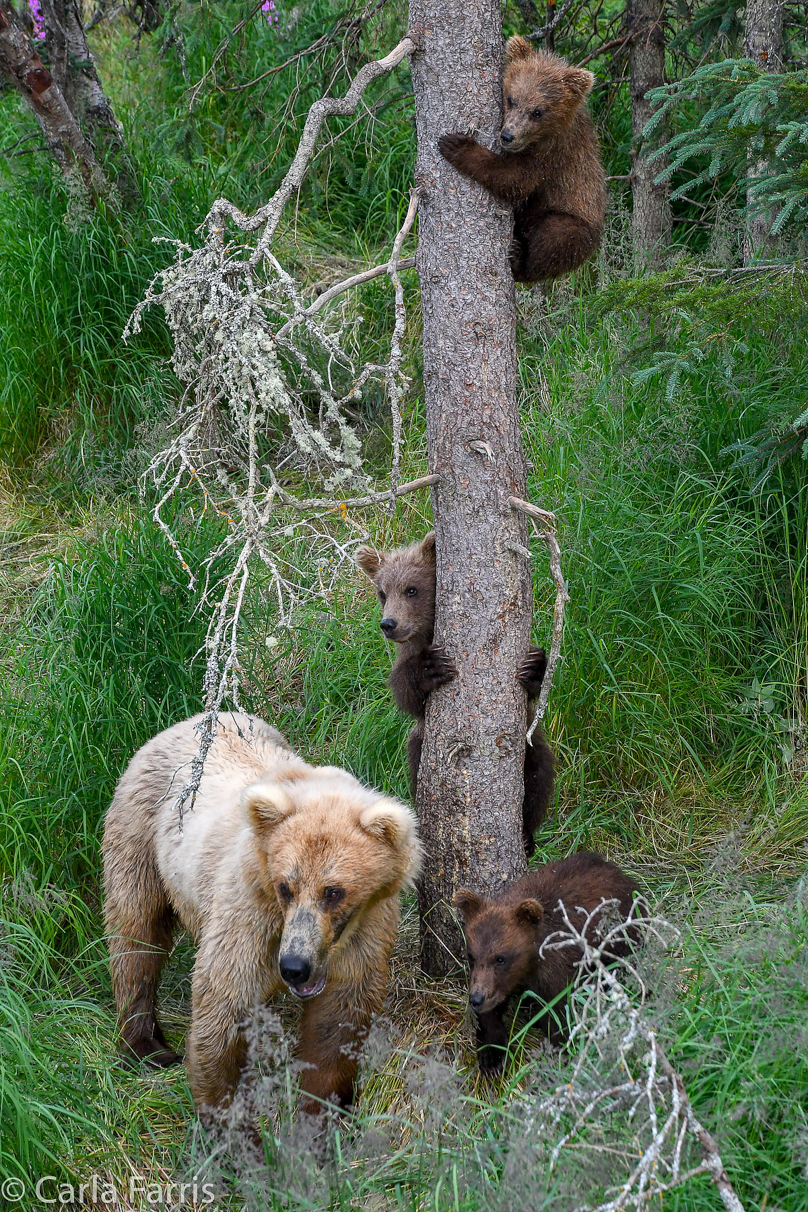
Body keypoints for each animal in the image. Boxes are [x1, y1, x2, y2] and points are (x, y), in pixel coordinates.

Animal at [102, 707, 423, 1115]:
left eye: (333, 892)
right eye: (286, 886)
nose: (294, 966)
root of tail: (184, 721)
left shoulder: (366, 928)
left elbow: (337, 1021)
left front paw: (320, 1108)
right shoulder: (250, 913)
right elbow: (223, 1005)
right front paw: (225, 1115)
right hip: (140, 833)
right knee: (136, 933)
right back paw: (146, 1046)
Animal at [356, 535, 559, 858]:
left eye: (411, 589)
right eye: (382, 592)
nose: (389, 624)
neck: (428, 631)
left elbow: (536, 687)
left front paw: (534, 666)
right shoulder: (409, 657)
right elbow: (405, 694)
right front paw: (431, 667)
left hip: (531, 744)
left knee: (539, 771)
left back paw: (527, 835)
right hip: (420, 743)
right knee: (416, 766)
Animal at [436, 36, 605, 283]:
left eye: (537, 112)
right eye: (511, 99)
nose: (507, 136)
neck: (541, 137)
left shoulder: (551, 155)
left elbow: (514, 179)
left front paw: (457, 145)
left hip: (577, 222)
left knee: (556, 238)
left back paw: (518, 259)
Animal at [455, 853, 639, 1071]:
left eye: (500, 958)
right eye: (471, 955)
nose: (476, 999)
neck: (529, 964)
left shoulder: (556, 968)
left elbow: (559, 1011)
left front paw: (559, 1051)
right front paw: (492, 1055)